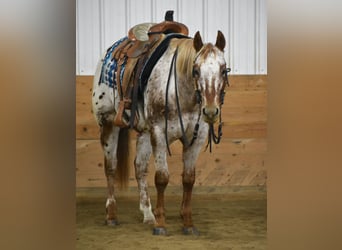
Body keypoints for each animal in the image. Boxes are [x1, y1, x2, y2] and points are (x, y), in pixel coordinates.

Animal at [92, 28, 228, 235]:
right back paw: (112, 215)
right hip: (108, 122)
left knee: (140, 167)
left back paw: (148, 215)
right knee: (111, 168)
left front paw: (187, 223)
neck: (181, 92)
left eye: (223, 69)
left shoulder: (196, 138)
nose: (211, 111)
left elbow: (188, 179)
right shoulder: (159, 133)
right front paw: (161, 225)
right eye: (196, 70)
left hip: (145, 133)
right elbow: (162, 178)